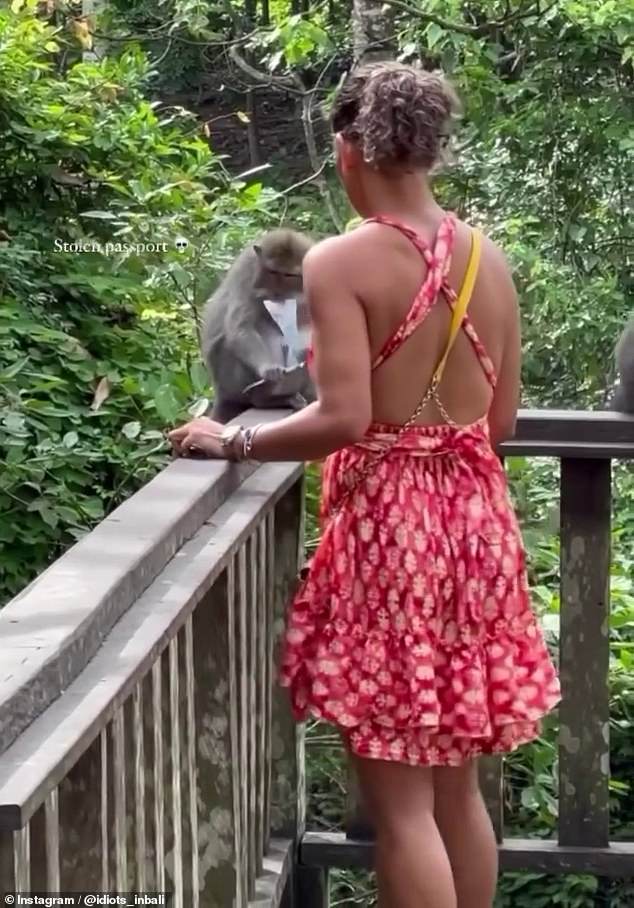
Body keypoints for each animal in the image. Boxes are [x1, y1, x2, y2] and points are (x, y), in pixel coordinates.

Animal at [201, 231, 314, 422]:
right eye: (272, 271)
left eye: (289, 275)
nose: (277, 292)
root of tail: (221, 392)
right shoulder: (246, 273)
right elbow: (241, 328)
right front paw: (268, 369)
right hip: (232, 383)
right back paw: (266, 399)